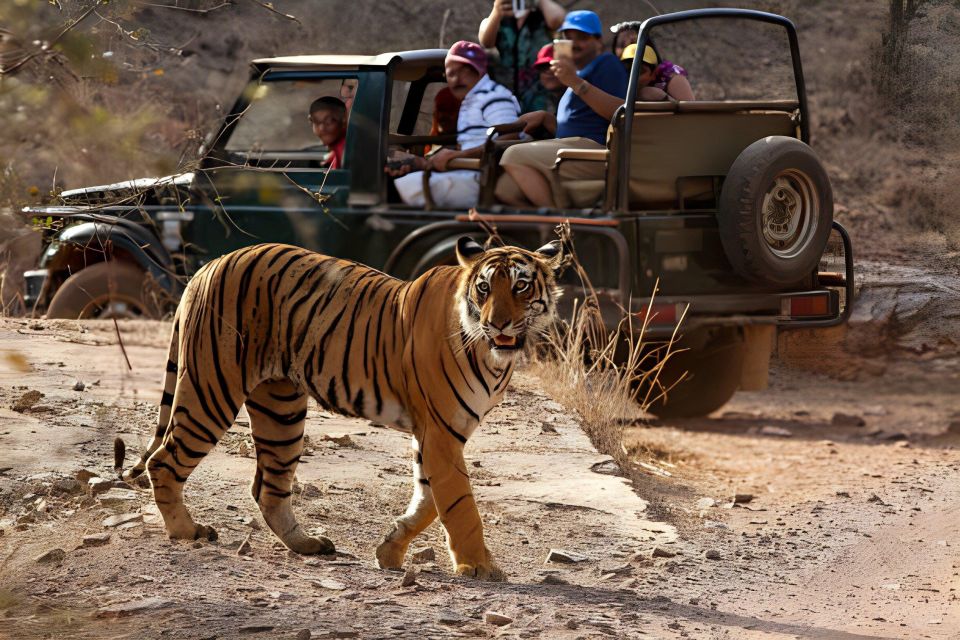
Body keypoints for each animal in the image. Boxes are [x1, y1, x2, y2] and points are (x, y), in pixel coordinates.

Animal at [115, 237, 566, 580]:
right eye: (484, 289)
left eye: (521, 287)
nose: (499, 324)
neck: (493, 355)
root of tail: (209, 265)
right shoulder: (441, 431)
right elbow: (459, 504)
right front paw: (479, 567)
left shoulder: (435, 433)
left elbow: (427, 501)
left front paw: (389, 550)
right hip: (212, 389)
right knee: (164, 461)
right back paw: (186, 531)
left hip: (281, 409)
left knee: (268, 488)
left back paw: (308, 545)